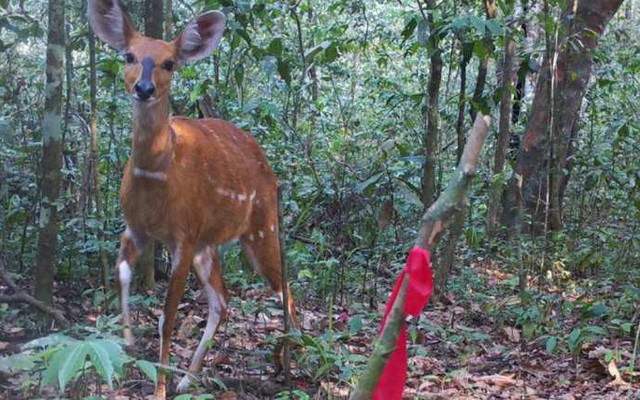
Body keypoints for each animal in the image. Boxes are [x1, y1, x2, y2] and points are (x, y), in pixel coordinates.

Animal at [87, 0, 300, 396]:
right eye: (129, 55)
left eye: (170, 62)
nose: (143, 88)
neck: (158, 176)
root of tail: (269, 166)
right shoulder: (136, 228)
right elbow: (122, 275)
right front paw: (127, 348)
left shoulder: (182, 237)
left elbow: (167, 318)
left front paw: (158, 389)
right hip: (209, 243)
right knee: (222, 300)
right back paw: (189, 377)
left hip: (261, 226)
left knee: (284, 290)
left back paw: (291, 361)